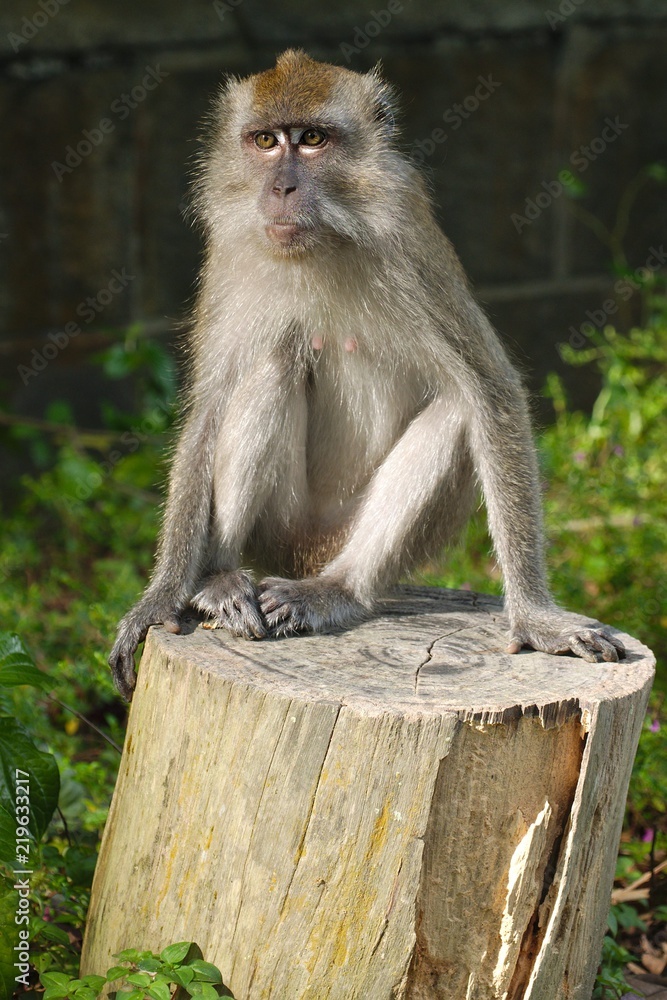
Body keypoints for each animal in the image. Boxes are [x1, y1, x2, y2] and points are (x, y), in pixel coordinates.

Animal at [109, 49, 625, 700]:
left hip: (350, 537)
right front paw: (159, 599)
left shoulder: (409, 245)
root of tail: (307, 557)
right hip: (281, 530)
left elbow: (490, 391)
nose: (281, 188)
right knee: (269, 365)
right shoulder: (231, 252)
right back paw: (222, 579)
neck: (322, 244)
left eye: (312, 140)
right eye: (265, 140)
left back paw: (338, 589)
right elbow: (208, 408)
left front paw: (536, 617)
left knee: (456, 408)